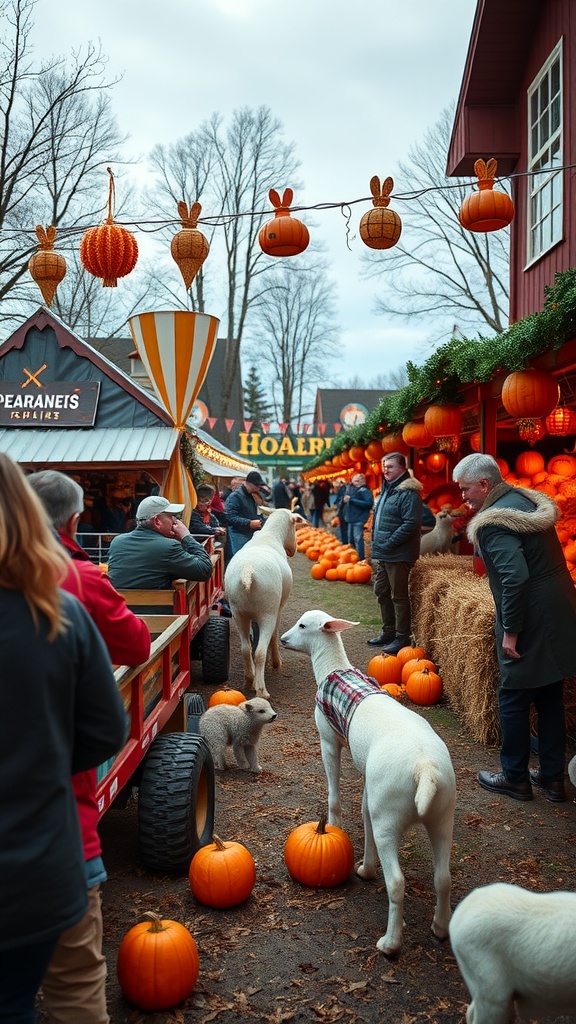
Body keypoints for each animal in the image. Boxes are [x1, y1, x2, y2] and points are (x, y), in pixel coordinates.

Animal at [222, 507, 301, 700]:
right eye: (294, 526)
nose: (294, 550)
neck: (270, 535)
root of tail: (247, 572)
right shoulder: (279, 607)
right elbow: (275, 634)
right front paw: (276, 662)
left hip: (238, 613)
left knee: (245, 648)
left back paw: (249, 679)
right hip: (267, 612)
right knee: (259, 652)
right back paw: (261, 689)